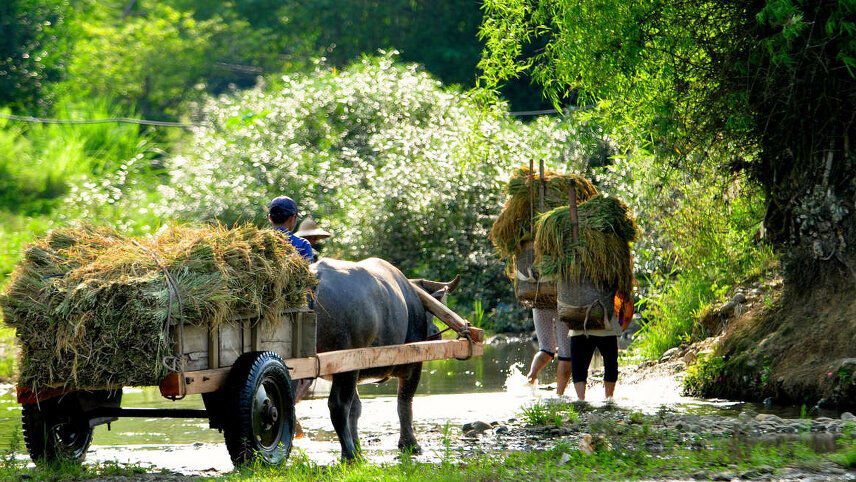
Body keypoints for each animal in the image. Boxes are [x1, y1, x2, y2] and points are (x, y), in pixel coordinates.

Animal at [312, 258, 462, 462]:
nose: (435, 333)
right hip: (346, 367)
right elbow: (405, 402)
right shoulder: (413, 365)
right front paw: (410, 444)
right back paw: (350, 454)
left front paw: (358, 445)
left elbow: (356, 409)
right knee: (338, 405)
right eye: (430, 313)